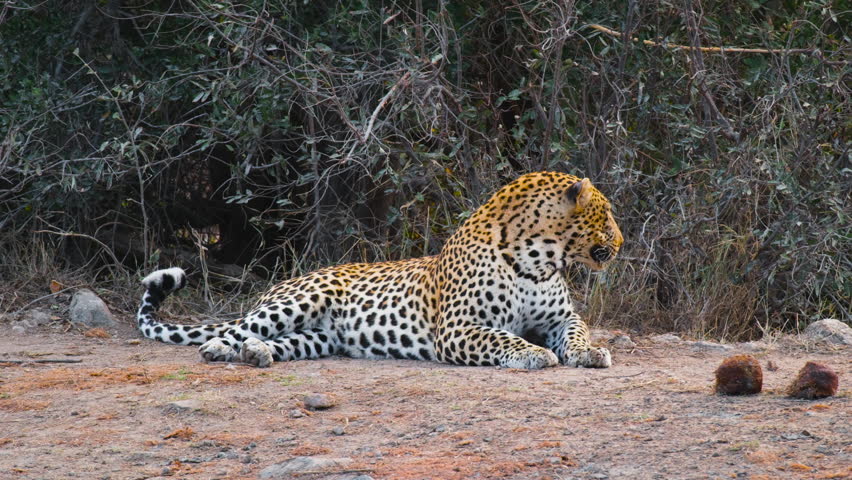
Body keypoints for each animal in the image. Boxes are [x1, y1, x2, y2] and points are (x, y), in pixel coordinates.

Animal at [137, 171, 623, 369]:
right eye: (606, 214)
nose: (621, 243)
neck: (538, 261)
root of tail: (276, 287)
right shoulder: (460, 327)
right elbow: (502, 337)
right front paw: (533, 353)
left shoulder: (561, 317)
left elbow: (577, 332)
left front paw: (590, 353)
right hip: (298, 301)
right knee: (230, 333)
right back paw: (223, 350)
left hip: (318, 338)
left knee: (272, 342)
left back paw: (258, 354)